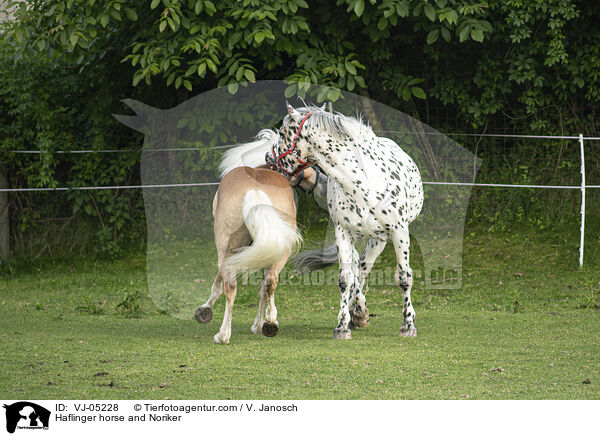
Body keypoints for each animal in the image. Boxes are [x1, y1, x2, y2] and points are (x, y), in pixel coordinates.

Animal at [195, 164, 302, 344]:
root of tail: (255, 191)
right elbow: (262, 290)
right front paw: (260, 324)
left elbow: (217, 287)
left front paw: (204, 310)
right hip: (280, 252)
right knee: (270, 281)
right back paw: (270, 324)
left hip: (226, 251)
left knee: (230, 287)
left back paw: (223, 335)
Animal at [268, 103, 422, 340]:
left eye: (284, 133)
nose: (270, 160)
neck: (363, 182)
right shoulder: (344, 233)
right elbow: (345, 280)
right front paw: (342, 326)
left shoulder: (399, 232)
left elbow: (404, 277)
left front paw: (408, 324)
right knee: (359, 267)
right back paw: (358, 312)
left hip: (379, 239)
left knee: (364, 266)